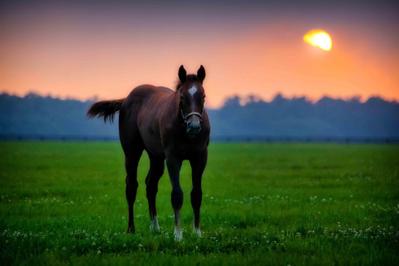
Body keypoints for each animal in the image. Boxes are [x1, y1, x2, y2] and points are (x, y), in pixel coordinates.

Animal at [87, 65, 211, 241]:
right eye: (182, 96)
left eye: (203, 96)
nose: (194, 126)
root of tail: (126, 99)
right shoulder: (173, 158)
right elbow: (177, 194)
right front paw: (178, 235)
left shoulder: (200, 158)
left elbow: (196, 194)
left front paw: (197, 233)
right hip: (132, 152)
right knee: (131, 186)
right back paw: (131, 229)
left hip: (156, 157)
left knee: (151, 184)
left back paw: (155, 227)